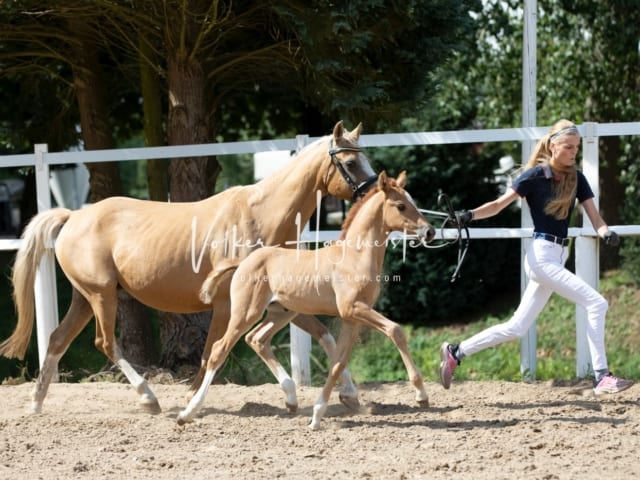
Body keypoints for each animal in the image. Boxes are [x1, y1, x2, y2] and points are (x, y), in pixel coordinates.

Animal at [180, 172, 436, 428]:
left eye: (413, 201)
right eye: (401, 206)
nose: (430, 232)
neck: (354, 257)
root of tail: (244, 261)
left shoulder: (353, 318)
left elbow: (337, 364)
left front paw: (317, 415)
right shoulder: (354, 309)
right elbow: (396, 331)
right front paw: (421, 396)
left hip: (281, 312)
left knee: (257, 339)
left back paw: (291, 399)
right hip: (246, 313)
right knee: (218, 350)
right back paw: (188, 412)